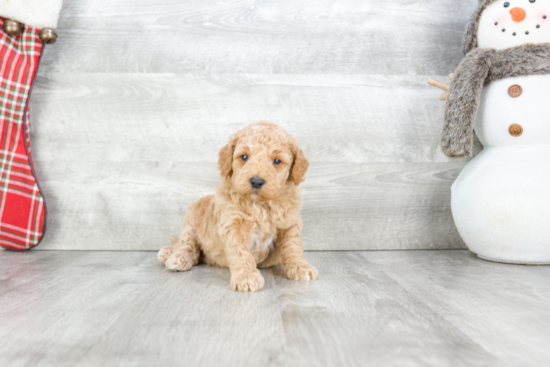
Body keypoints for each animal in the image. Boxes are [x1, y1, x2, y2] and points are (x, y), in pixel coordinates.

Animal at [157, 121, 320, 294]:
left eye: (277, 161)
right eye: (244, 157)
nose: (256, 181)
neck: (260, 205)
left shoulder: (289, 223)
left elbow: (293, 246)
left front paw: (301, 266)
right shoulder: (232, 224)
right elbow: (240, 252)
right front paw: (246, 277)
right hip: (191, 221)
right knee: (187, 246)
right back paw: (176, 257)